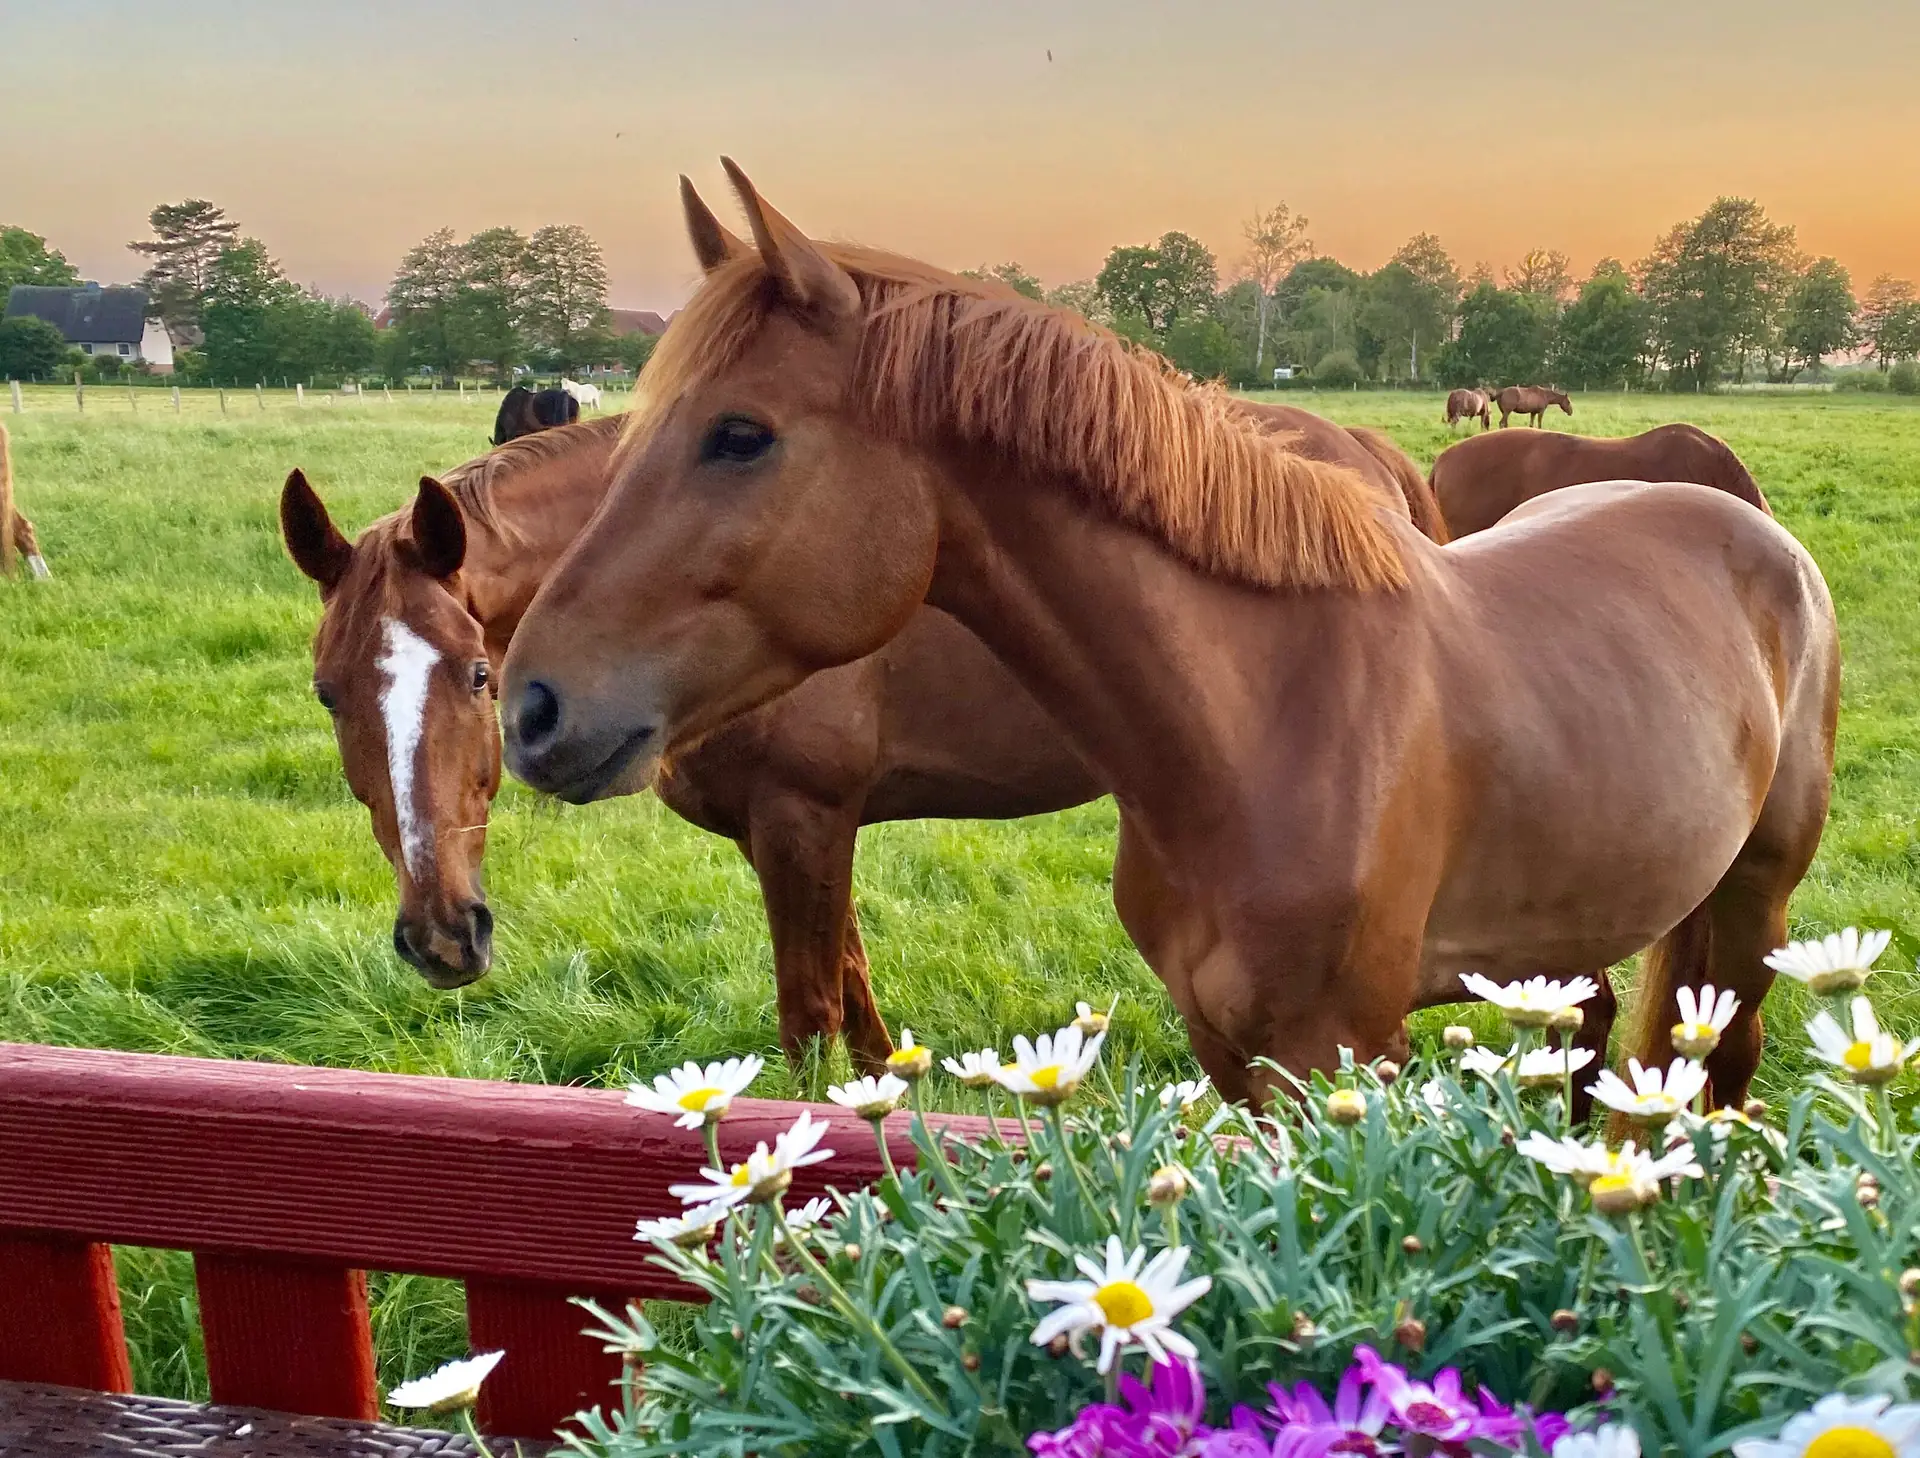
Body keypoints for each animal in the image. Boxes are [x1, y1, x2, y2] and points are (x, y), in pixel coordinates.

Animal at [280, 395, 1449, 1074]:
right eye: (329, 693)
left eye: (477, 674)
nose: (442, 934)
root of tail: (1366, 452)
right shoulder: (804, 831)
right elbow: (853, 988)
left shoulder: (802, 818)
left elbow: (808, 1023)